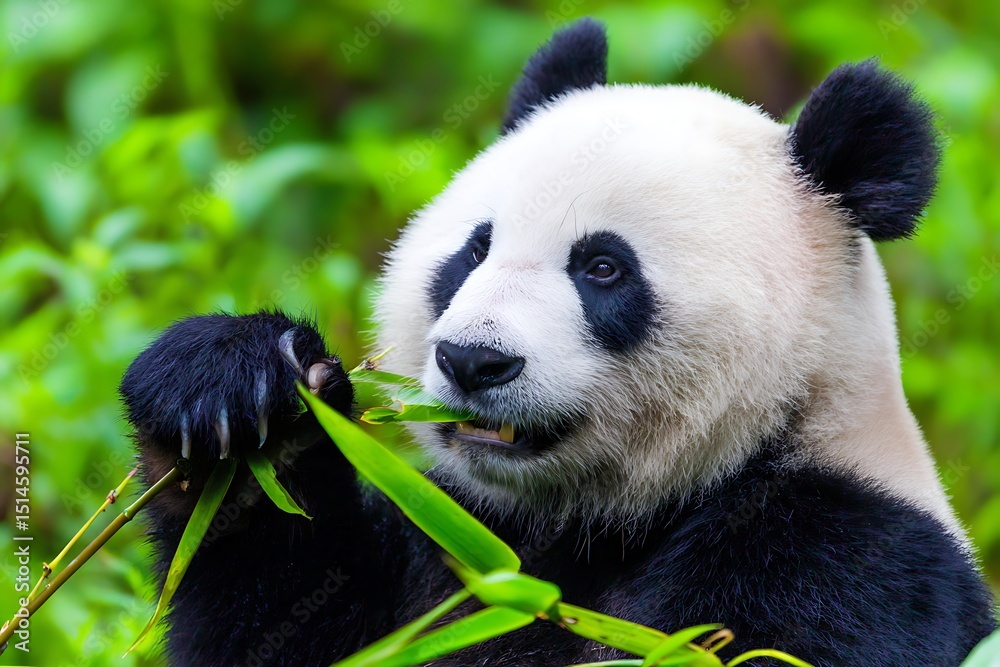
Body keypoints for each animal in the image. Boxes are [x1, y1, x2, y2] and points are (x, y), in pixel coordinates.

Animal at [121, 18, 996, 667]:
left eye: (603, 267)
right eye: (474, 250)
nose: (473, 360)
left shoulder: (846, 550)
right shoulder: (460, 546)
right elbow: (290, 622)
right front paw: (237, 399)